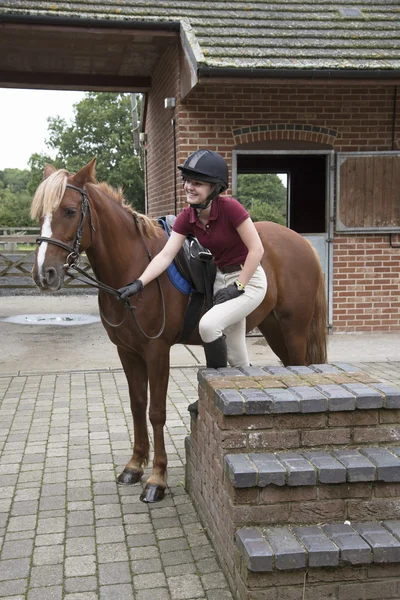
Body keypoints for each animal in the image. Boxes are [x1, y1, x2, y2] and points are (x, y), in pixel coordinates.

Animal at [30, 158, 324, 502]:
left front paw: (157, 479)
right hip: (273, 329)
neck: (136, 270)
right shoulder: (127, 352)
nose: (44, 274)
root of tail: (301, 241)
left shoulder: (157, 352)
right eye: (40, 214)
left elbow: (156, 411)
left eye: (69, 211)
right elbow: (137, 405)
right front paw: (134, 465)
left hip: (294, 330)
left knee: (299, 366)